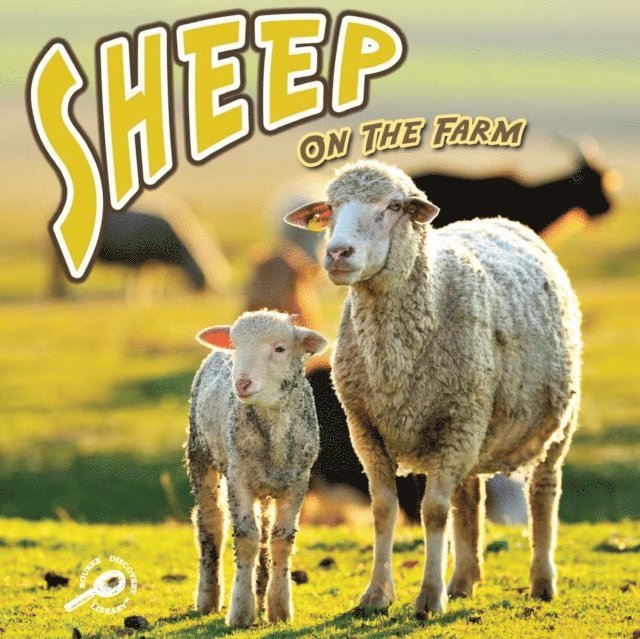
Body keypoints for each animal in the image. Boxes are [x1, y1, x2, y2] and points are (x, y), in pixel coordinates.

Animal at [187, 310, 327, 627]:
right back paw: (209, 597)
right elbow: (247, 538)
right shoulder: (238, 477)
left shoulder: (297, 482)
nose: (242, 383)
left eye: (280, 349)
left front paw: (279, 608)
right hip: (200, 453)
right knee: (211, 522)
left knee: (265, 531)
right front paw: (241, 610)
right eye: (236, 346)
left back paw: (262, 593)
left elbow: (281, 540)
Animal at [285, 159, 581, 618]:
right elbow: (384, 510)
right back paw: (463, 581)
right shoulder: (366, 428)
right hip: (472, 428)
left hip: (548, 425)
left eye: (393, 206)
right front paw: (376, 594)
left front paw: (428, 597)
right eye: (330, 208)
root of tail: (499, 219)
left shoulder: (457, 418)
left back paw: (541, 581)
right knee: (469, 498)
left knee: (543, 492)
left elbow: (434, 512)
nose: (336, 254)